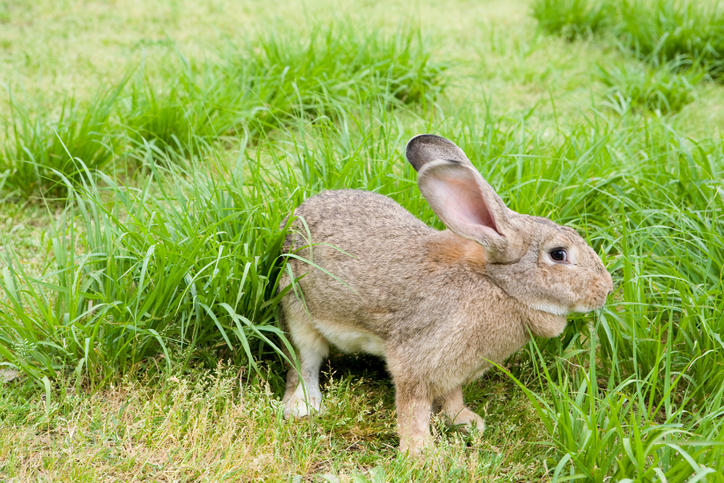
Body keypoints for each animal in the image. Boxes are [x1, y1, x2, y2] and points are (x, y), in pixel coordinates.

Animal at [278, 134, 613, 455]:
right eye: (558, 254)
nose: (606, 290)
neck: (498, 285)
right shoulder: (416, 361)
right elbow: (412, 406)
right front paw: (419, 452)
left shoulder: (453, 368)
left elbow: (452, 395)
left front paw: (465, 421)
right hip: (297, 313)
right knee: (303, 362)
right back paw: (302, 405)